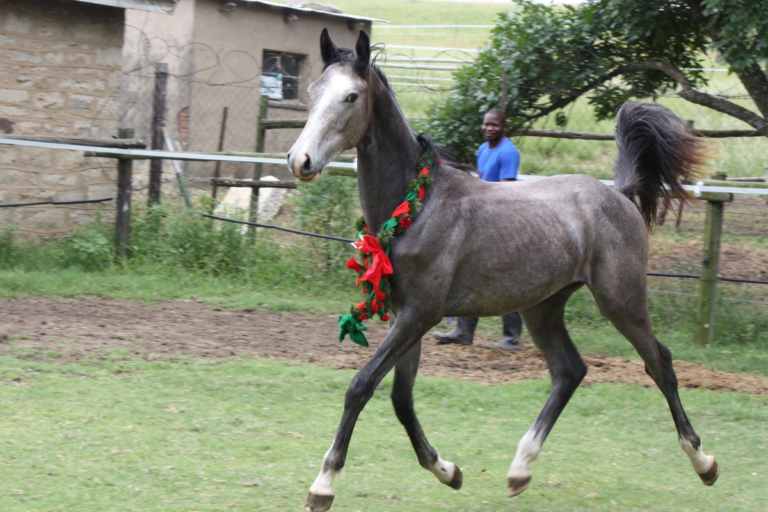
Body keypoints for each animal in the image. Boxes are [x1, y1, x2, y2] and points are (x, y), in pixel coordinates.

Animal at [287, 29, 718, 512]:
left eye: (351, 96)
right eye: (312, 92)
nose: (299, 161)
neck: (418, 206)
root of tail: (619, 194)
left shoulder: (421, 313)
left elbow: (361, 386)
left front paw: (323, 484)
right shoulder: (405, 314)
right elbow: (401, 398)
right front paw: (448, 471)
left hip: (620, 300)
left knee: (659, 363)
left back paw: (704, 462)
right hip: (543, 308)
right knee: (569, 371)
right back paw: (519, 469)